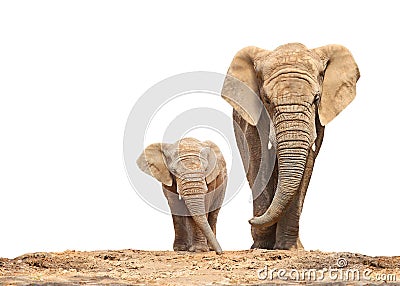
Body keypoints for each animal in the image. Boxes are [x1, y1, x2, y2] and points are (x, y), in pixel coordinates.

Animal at [222, 43, 360, 250]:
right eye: (266, 100)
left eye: (316, 99)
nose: (250, 220)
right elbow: (260, 160)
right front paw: (261, 246)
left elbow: (307, 164)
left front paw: (289, 248)